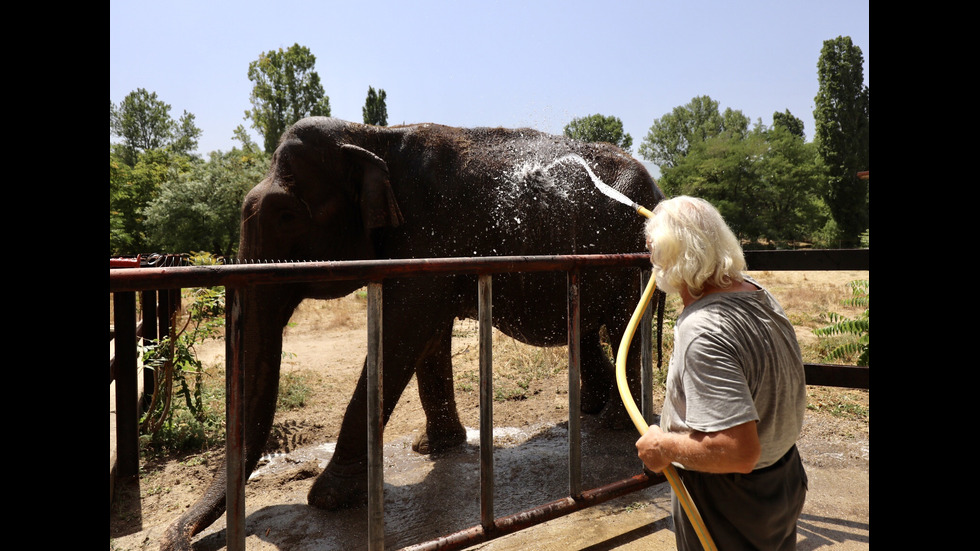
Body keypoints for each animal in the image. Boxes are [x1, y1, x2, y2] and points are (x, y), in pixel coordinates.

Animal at [161, 116, 668, 551]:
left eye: (286, 216)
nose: (177, 541)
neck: (372, 136)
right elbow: (427, 335)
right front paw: (433, 448)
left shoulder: (429, 236)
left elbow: (402, 330)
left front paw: (327, 499)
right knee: (586, 329)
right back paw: (591, 411)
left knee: (622, 325)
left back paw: (614, 424)